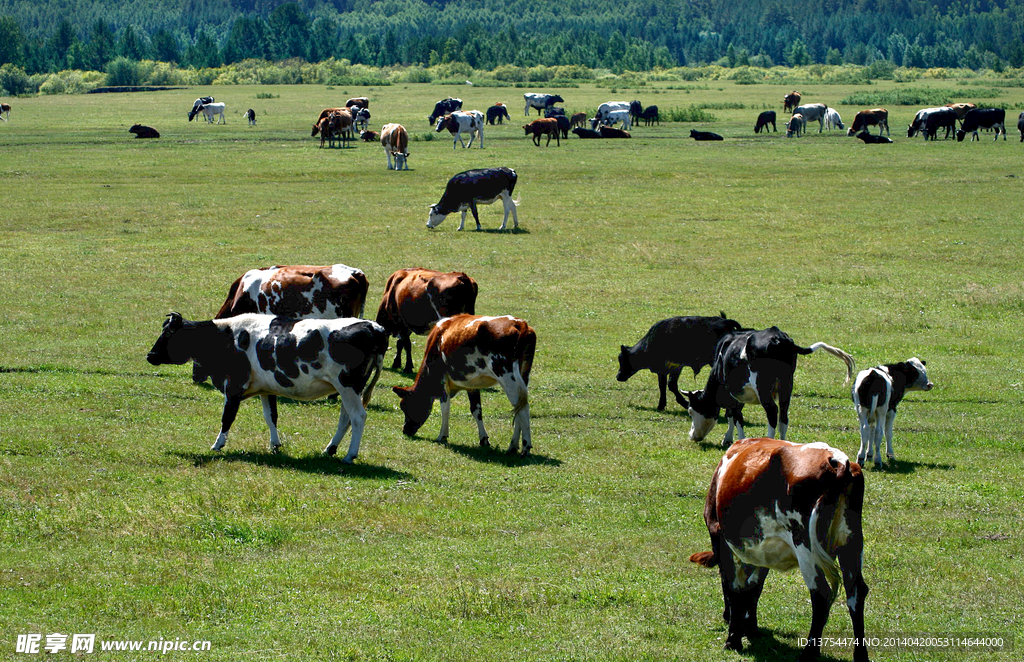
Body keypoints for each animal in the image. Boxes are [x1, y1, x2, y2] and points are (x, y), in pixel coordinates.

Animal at [149, 313, 389, 465]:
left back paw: (350, 455)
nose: (150, 356)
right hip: (349, 388)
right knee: (345, 418)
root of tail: (374, 326)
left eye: (168, 334)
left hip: (348, 386)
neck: (226, 338)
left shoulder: (234, 385)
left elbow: (227, 417)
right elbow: (271, 416)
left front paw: (217, 444)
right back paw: (329, 449)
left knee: (357, 416)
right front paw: (275, 445)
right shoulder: (266, 389)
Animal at [389, 315, 536, 457]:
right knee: (519, 407)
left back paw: (525, 447)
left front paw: (442, 436)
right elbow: (476, 410)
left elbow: (445, 408)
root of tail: (519, 323)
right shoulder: (472, 385)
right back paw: (513, 446)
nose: (405, 430)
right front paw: (483, 439)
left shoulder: (442, 380)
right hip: (523, 376)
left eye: (404, 406)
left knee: (523, 409)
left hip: (507, 376)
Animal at [614, 313, 745, 411]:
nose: (618, 376)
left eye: (622, 359)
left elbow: (668, 385)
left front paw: (680, 403)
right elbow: (668, 385)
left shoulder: (667, 367)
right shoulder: (673, 367)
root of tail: (726, 321)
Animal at [684, 327, 860, 448]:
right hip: (786, 385)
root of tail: (779, 338)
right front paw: (728, 438)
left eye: (691, 411)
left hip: (763, 387)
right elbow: (732, 416)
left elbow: (735, 416)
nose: (691, 436)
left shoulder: (733, 394)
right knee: (783, 416)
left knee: (772, 412)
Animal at [692, 436, 868, 662]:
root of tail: (838, 461)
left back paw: (809, 652)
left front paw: (733, 638)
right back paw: (860, 655)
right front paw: (750, 628)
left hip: (805, 546)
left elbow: (732, 586)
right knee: (856, 592)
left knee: (821, 594)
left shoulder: (719, 536)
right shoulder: (762, 551)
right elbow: (754, 587)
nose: (725, 616)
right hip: (851, 545)